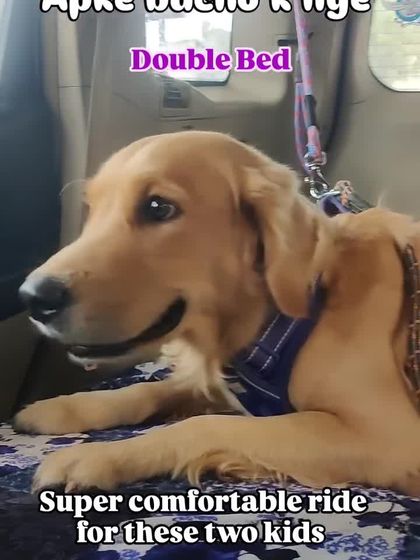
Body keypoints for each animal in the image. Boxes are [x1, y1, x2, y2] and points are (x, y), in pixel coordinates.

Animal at [14, 131, 420, 495]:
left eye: (158, 207)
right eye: (93, 209)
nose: (33, 298)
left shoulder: (386, 438)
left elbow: (201, 426)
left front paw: (100, 455)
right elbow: (150, 389)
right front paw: (63, 408)